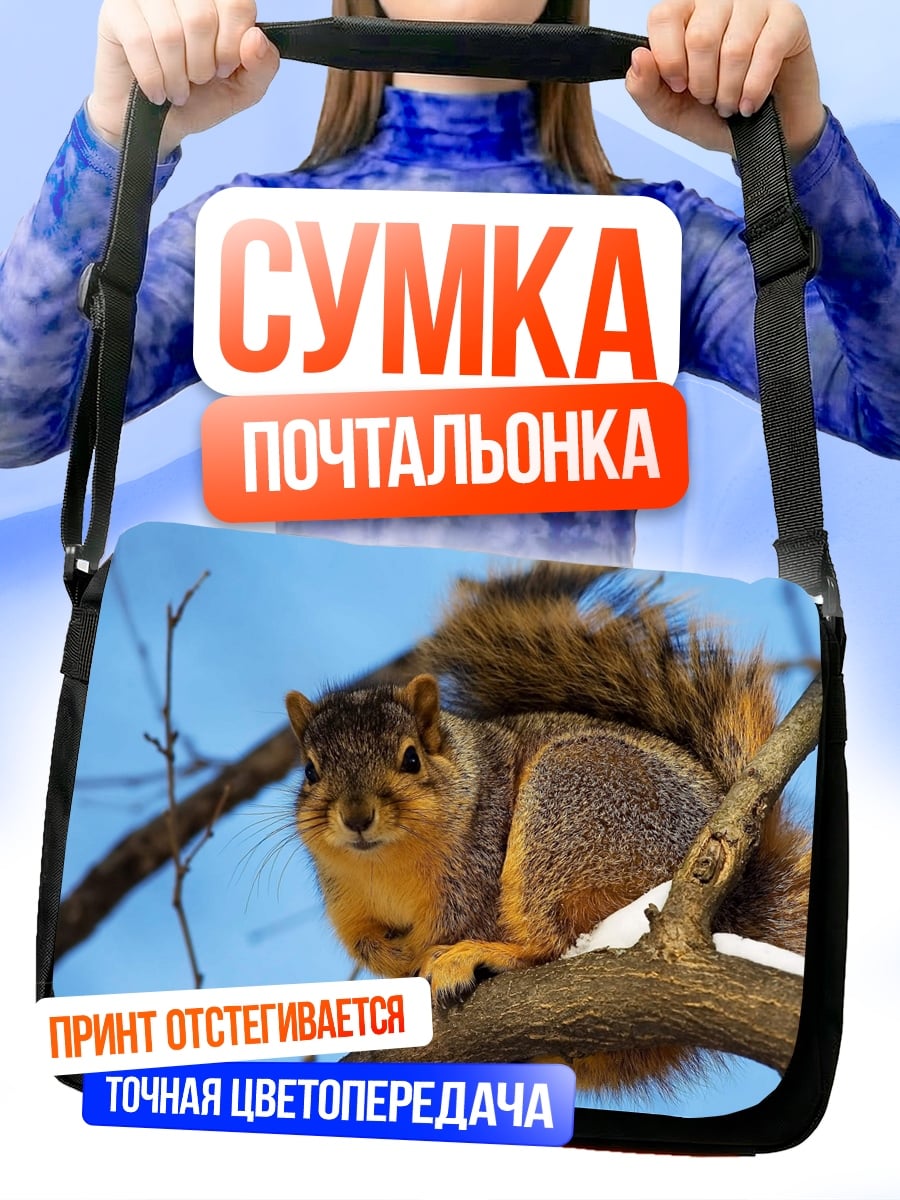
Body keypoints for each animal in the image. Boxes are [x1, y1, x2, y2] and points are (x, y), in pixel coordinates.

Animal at [285, 562, 811, 1094]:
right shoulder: (348, 900)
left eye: (411, 759)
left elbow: (462, 919)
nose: (356, 817)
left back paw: (475, 957)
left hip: (571, 808)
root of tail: (732, 902)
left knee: (549, 943)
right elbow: (366, 944)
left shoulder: (478, 865)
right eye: (310, 771)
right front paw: (394, 959)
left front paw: (430, 951)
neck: (384, 866)